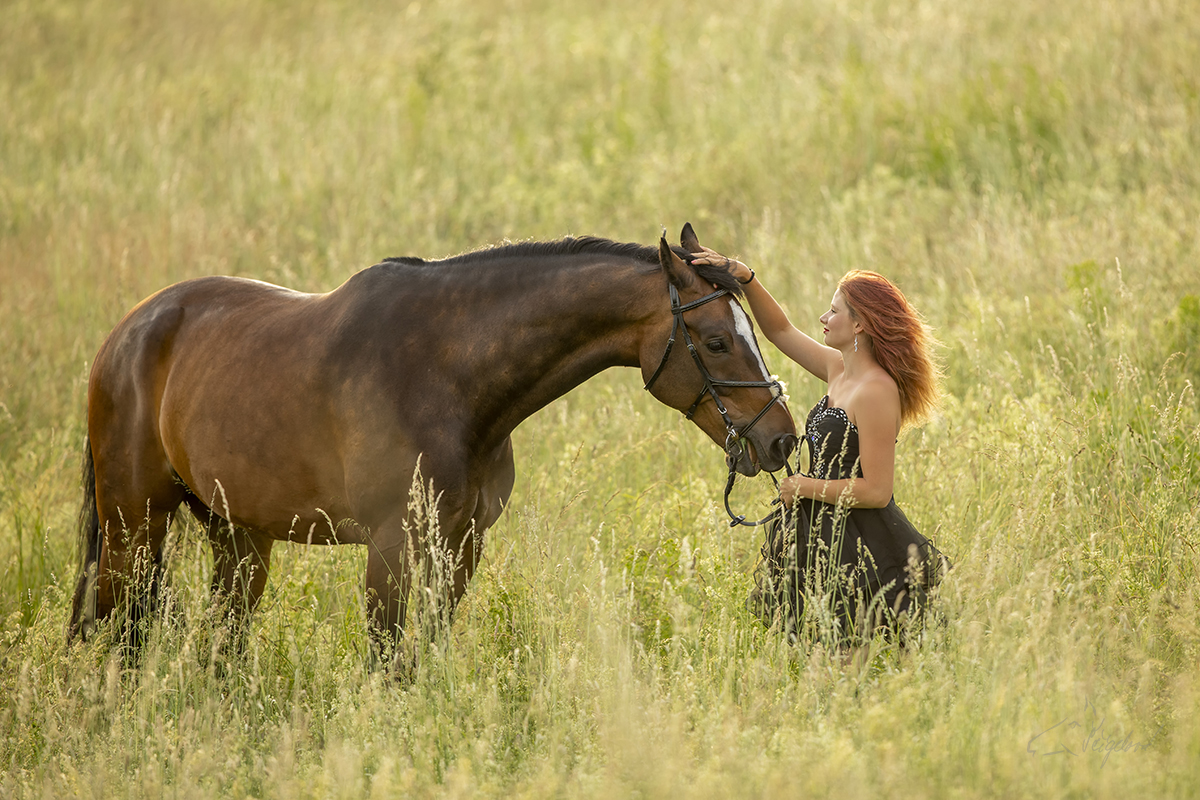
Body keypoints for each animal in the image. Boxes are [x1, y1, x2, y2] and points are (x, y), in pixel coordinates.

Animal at [65, 224, 796, 662]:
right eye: (715, 341)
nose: (782, 441)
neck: (450, 377)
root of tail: (125, 336)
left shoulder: (461, 546)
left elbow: (428, 655)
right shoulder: (391, 547)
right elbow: (387, 661)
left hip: (237, 536)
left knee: (219, 642)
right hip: (133, 526)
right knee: (109, 630)